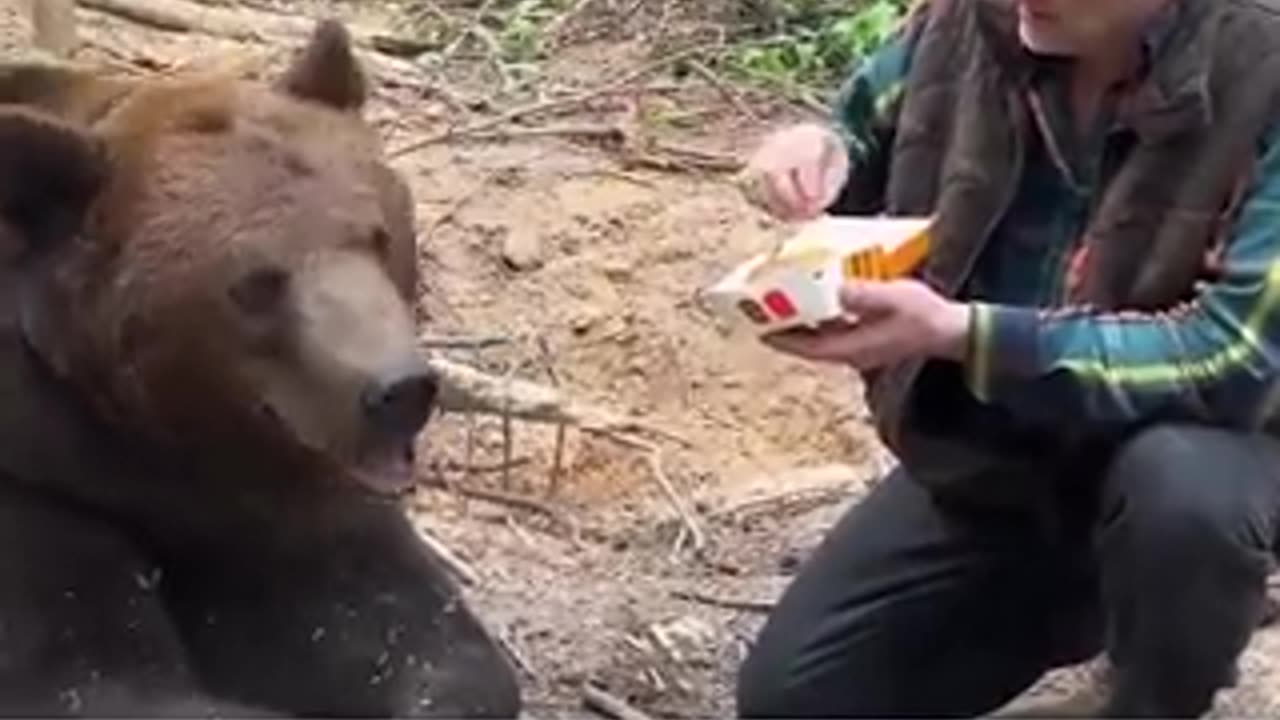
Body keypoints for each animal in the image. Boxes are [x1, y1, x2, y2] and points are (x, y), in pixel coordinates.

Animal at [0, 14, 519, 712]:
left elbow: (405, 631)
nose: (399, 390)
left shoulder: (288, 507)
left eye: (379, 237)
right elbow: (91, 677)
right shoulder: (44, 486)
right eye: (256, 283)